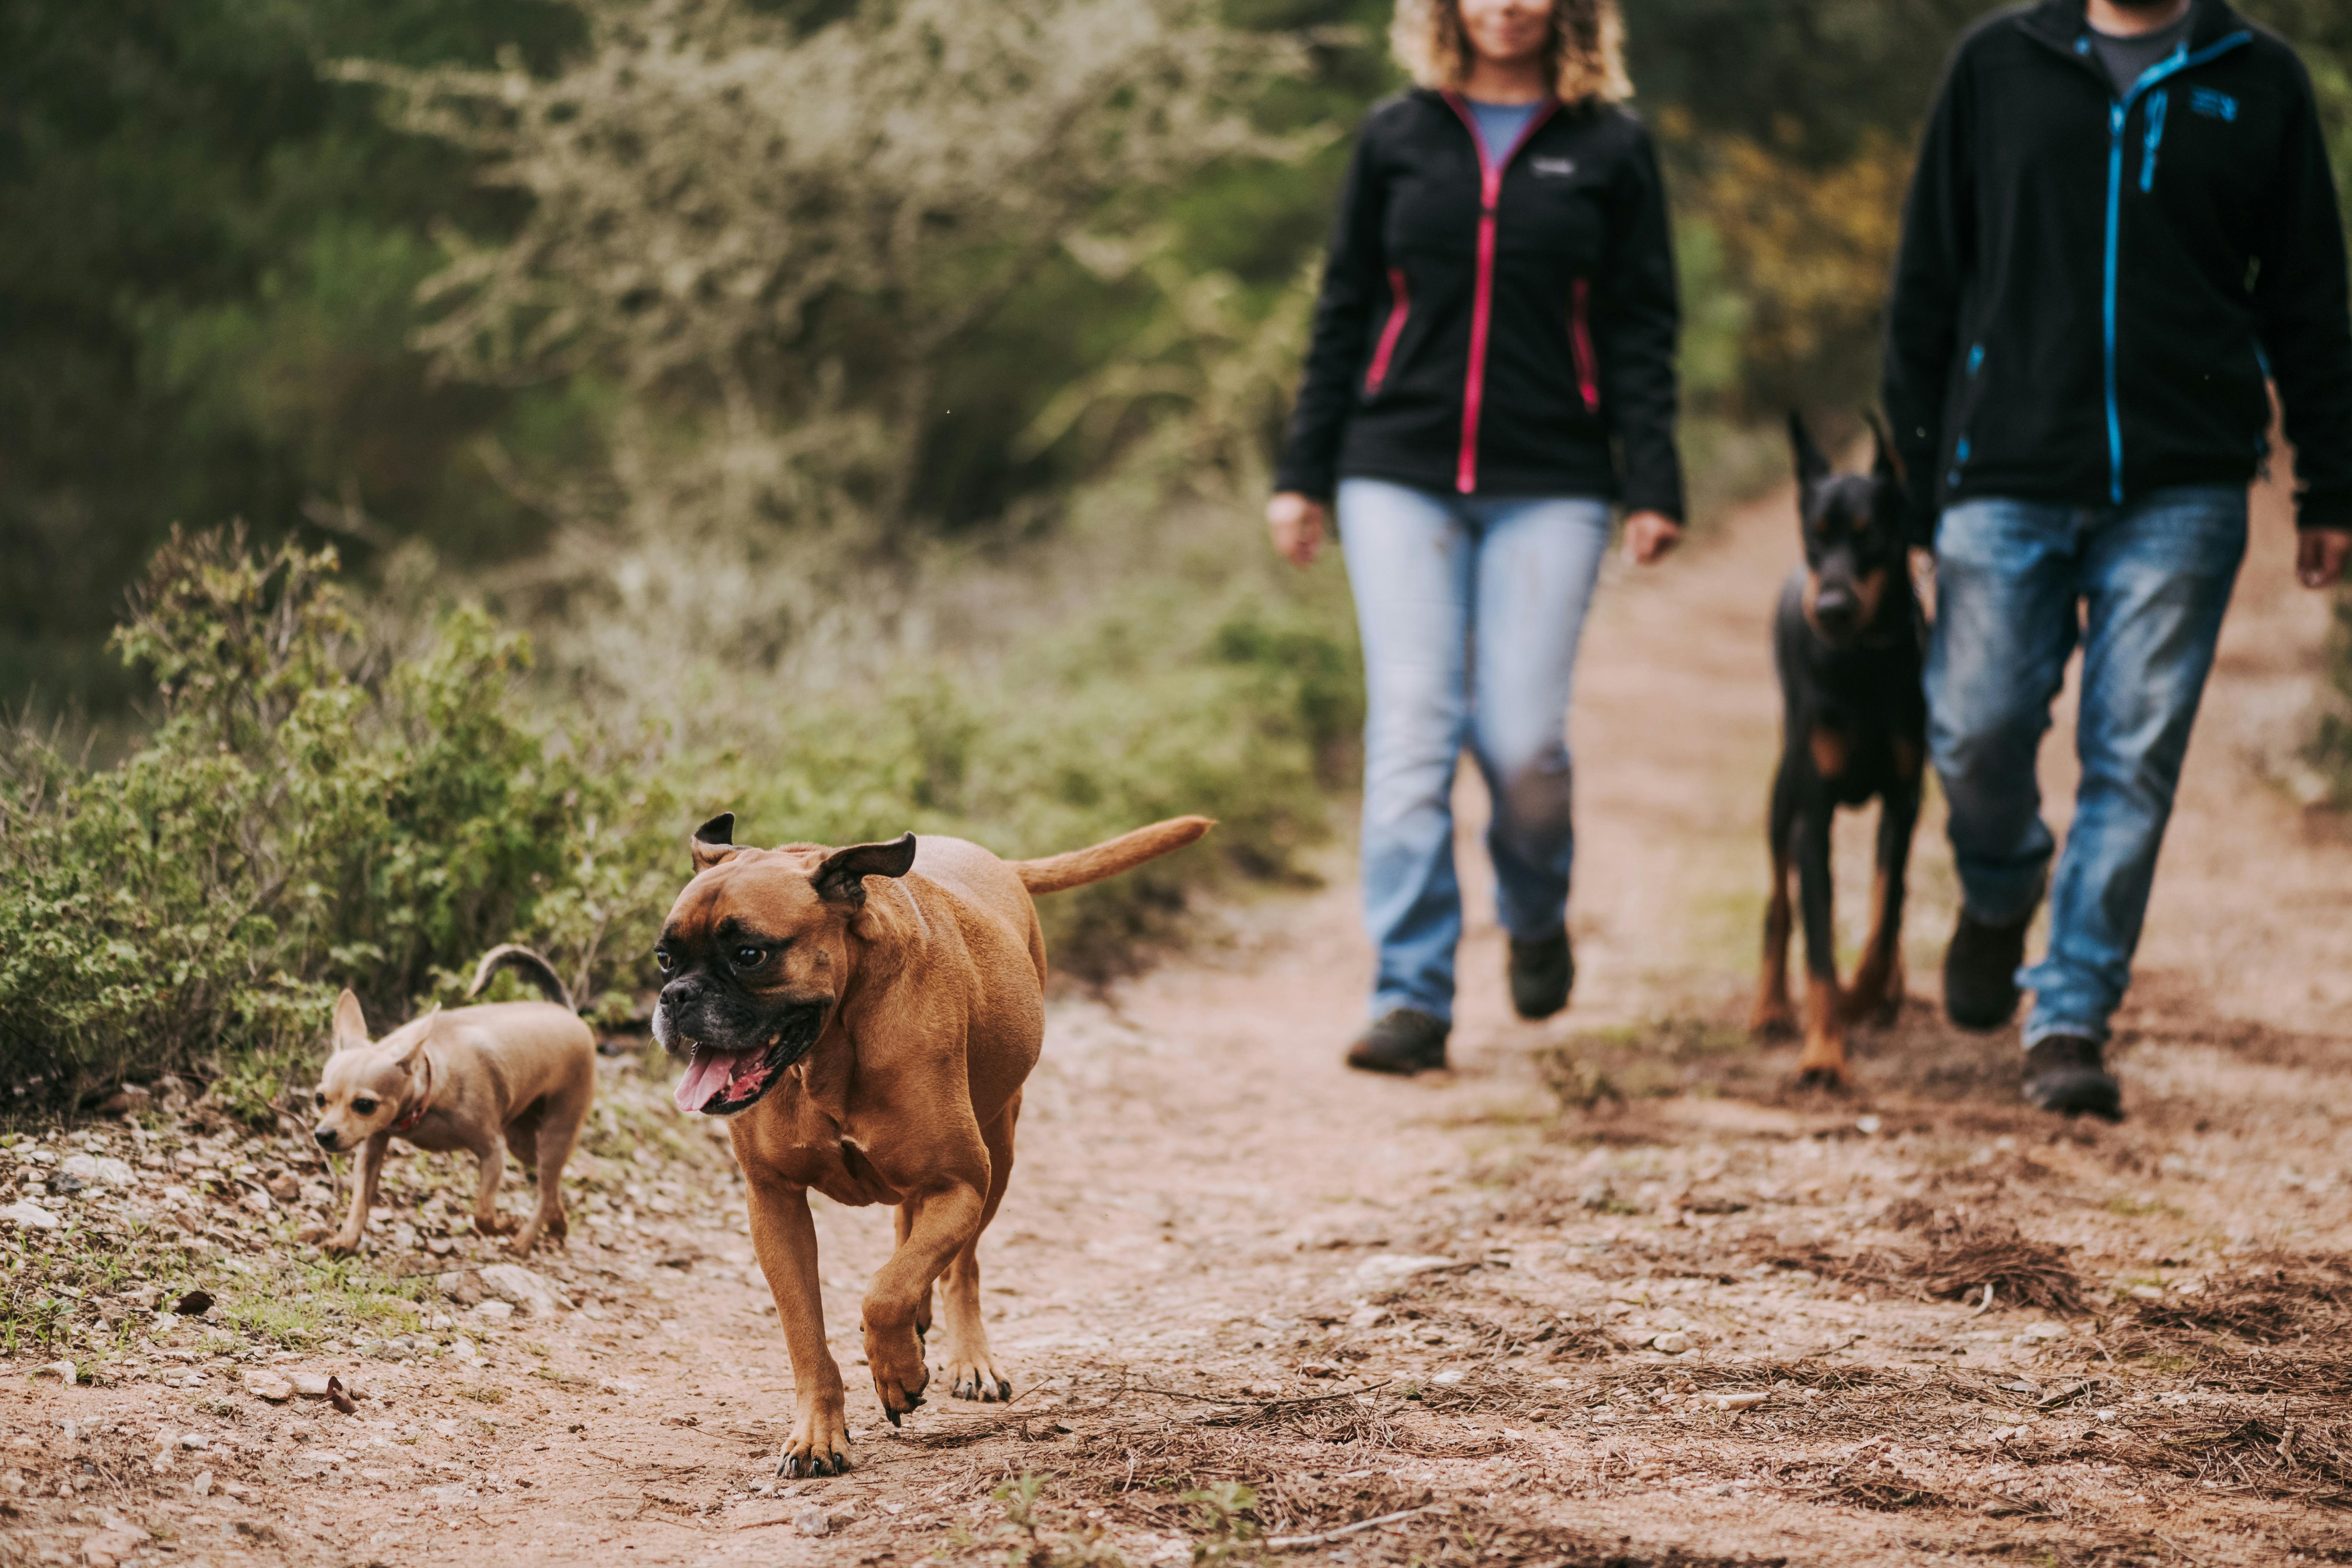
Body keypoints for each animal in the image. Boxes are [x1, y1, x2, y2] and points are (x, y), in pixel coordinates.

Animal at [658, 818, 1214, 1476]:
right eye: (664, 959)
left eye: (750, 954)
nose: (675, 997)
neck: (833, 1044)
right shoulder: (775, 1204)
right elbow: (807, 1332)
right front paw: (819, 1434)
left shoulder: (960, 1185)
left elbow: (888, 1289)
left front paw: (897, 1371)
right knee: (910, 1231)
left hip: (998, 1155)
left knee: (958, 1265)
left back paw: (968, 1359)